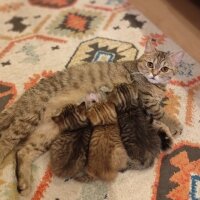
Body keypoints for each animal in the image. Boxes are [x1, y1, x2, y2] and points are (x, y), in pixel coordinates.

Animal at [0, 39, 183, 195]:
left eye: (165, 69)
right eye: (150, 64)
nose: (154, 74)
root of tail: (24, 98)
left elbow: (156, 121)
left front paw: (166, 135)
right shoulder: (145, 101)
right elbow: (161, 114)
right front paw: (174, 125)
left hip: (46, 134)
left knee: (23, 152)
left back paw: (24, 183)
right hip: (29, 118)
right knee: (6, 141)